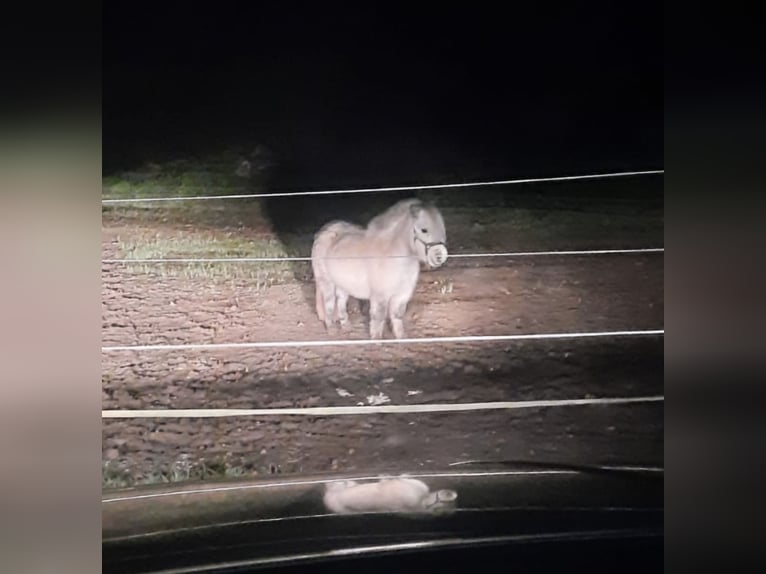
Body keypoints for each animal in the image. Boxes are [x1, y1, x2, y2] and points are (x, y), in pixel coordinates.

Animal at [308, 200, 448, 340]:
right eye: (424, 230)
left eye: (442, 229)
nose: (440, 257)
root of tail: (325, 230)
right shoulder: (380, 296)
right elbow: (379, 317)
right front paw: (376, 339)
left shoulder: (402, 294)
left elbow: (397, 316)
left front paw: (401, 338)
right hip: (326, 282)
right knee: (329, 304)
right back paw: (331, 329)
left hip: (342, 284)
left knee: (340, 302)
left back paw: (346, 326)